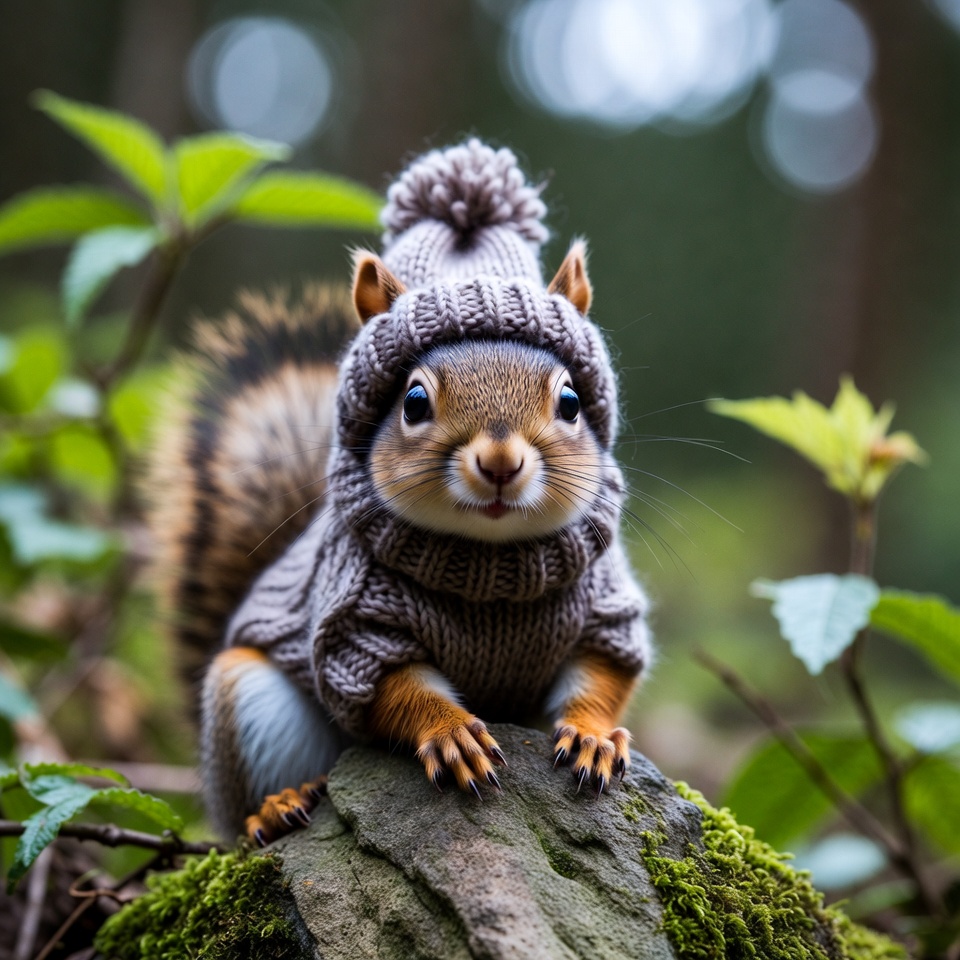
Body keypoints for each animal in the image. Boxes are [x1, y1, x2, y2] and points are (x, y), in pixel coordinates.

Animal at [148, 140, 652, 844]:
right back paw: (275, 807)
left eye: (572, 403)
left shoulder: (605, 611)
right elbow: (396, 690)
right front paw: (451, 734)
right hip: (248, 701)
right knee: (250, 801)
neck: (490, 568)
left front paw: (594, 737)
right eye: (413, 402)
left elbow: (601, 679)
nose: (500, 462)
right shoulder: (357, 627)